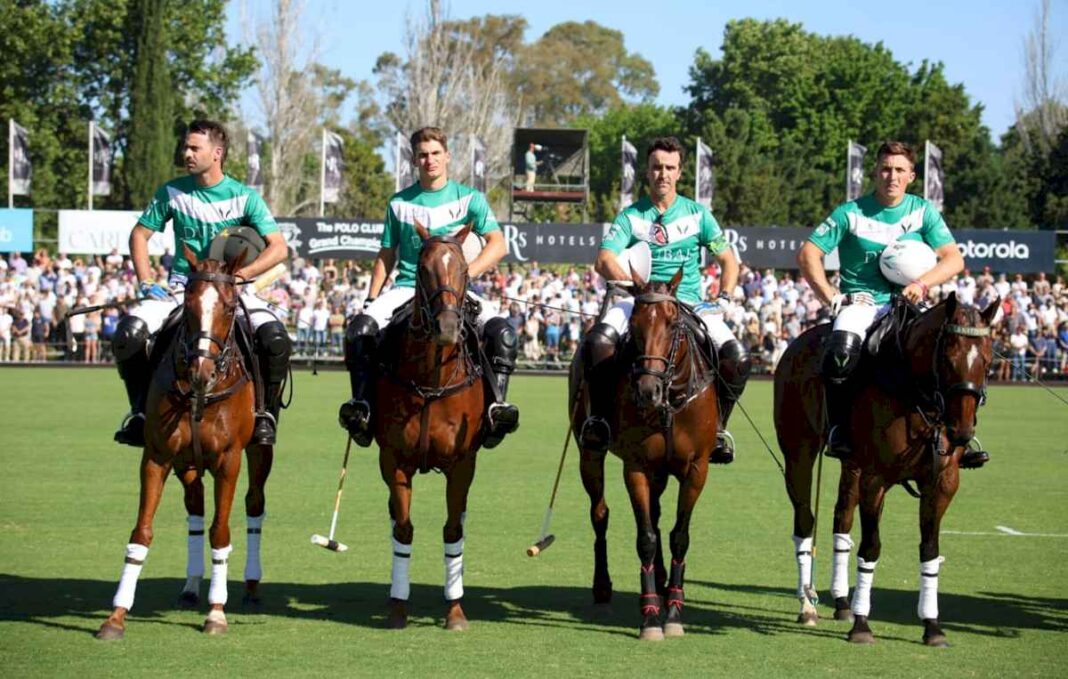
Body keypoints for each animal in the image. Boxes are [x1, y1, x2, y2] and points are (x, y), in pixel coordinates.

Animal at [98, 246, 260, 640]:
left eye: (230, 306)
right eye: (188, 304)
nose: (202, 371)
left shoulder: (229, 460)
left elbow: (221, 532)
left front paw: (217, 613)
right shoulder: (157, 457)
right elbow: (141, 532)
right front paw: (115, 616)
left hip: (257, 452)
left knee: (253, 503)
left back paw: (250, 587)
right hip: (186, 463)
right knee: (195, 505)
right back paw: (190, 586)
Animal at [375, 220, 489, 632]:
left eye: (465, 269)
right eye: (423, 270)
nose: (448, 326)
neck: (432, 378)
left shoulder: (463, 463)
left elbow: (453, 530)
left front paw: (455, 611)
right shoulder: (393, 460)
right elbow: (403, 529)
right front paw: (397, 608)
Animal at [568, 267, 717, 640]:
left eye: (673, 323)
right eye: (634, 325)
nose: (648, 390)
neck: (670, 400)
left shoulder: (697, 469)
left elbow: (679, 536)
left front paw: (674, 612)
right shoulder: (636, 466)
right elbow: (646, 537)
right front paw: (650, 618)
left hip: (662, 470)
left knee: (659, 513)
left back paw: (663, 582)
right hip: (589, 453)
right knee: (600, 513)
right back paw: (603, 588)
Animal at [773, 292, 995, 649]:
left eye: (988, 361)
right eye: (948, 358)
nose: (961, 432)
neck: (917, 393)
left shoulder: (942, 482)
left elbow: (930, 550)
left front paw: (932, 626)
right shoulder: (876, 479)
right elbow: (871, 547)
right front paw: (862, 625)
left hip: (851, 464)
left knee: (841, 519)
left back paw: (841, 602)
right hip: (799, 453)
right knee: (805, 520)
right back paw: (807, 604)